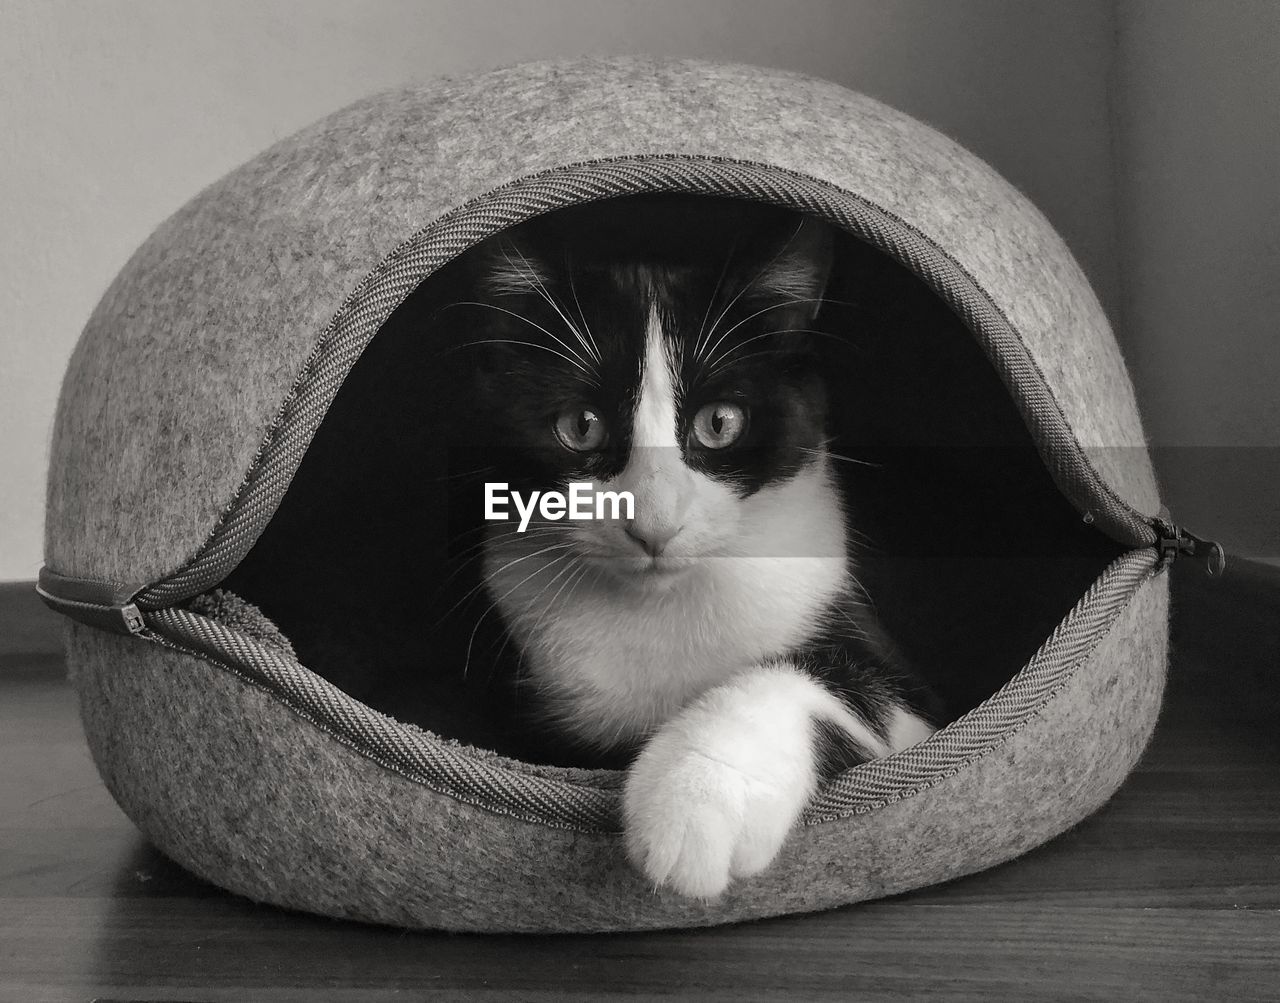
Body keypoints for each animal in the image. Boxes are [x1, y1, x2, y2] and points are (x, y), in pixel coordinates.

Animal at [442, 195, 942, 900]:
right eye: (580, 426)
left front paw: (695, 798)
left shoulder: (908, 698)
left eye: (720, 422)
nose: (653, 524)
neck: (658, 607)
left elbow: (834, 679)